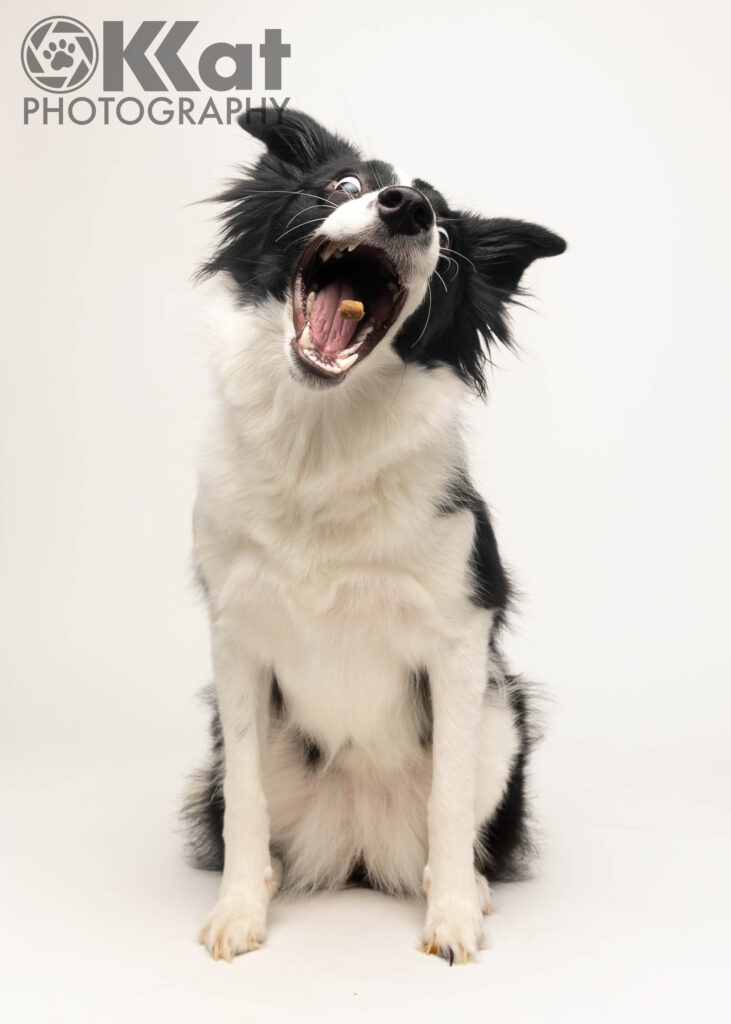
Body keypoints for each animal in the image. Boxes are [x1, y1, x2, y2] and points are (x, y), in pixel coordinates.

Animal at [182, 108, 565, 962]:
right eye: (346, 184)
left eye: (444, 234)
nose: (407, 210)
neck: (321, 439)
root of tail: (356, 842)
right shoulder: (234, 635)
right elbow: (247, 803)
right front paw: (237, 912)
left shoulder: (459, 638)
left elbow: (450, 800)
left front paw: (451, 917)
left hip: (503, 715)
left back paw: (470, 888)